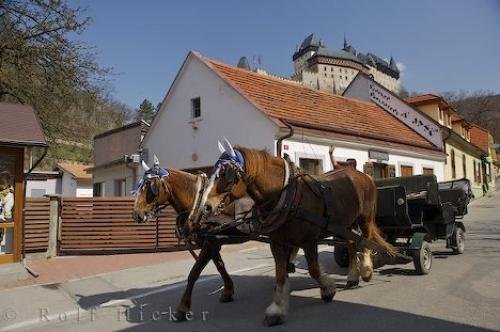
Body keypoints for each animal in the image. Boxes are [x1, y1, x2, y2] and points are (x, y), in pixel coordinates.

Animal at [132, 163, 241, 322]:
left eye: (150, 186)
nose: (136, 214)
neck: (199, 203)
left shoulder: (210, 242)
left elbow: (194, 273)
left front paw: (183, 307)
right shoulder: (211, 242)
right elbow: (219, 265)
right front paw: (228, 290)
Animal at [193, 145, 396, 324]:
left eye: (226, 174)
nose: (206, 207)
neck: (285, 197)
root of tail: (362, 174)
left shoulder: (309, 240)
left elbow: (314, 269)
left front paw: (328, 290)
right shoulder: (277, 243)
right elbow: (280, 275)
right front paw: (277, 310)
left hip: (365, 218)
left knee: (365, 241)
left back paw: (367, 271)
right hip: (345, 224)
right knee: (352, 245)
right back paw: (353, 276)